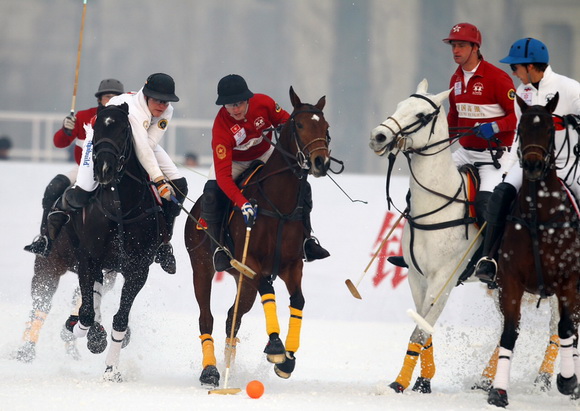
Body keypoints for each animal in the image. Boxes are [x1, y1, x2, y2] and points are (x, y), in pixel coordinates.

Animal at [65, 103, 163, 384]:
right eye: (96, 128)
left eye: (123, 130)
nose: (104, 170)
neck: (120, 207)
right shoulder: (87, 258)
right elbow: (86, 313)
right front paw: (87, 333)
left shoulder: (138, 269)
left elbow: (120, 319)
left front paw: (111, 369)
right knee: (92, 297)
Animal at [186, 87, 330, 390]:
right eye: (300, 125)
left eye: (326, 126)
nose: (320, 162)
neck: (279, 204)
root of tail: (194, 209)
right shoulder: (251, 263)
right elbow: (268, 288)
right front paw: (276, 347)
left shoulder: (291, 265)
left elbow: (298, 300)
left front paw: (288, 359)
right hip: (202, 268)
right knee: (206, 318)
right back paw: (211, 371)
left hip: (243, 283)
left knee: (233, 316)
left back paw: (227, 365)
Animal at [484, 93, 580, 408]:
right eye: (521, 130)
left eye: (551, 129)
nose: (533, 165)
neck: (540, 213)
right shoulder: (510, 282)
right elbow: (509, 333)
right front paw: (498, 391)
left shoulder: (569, 281)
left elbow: (565, 328)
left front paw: (567, 380)